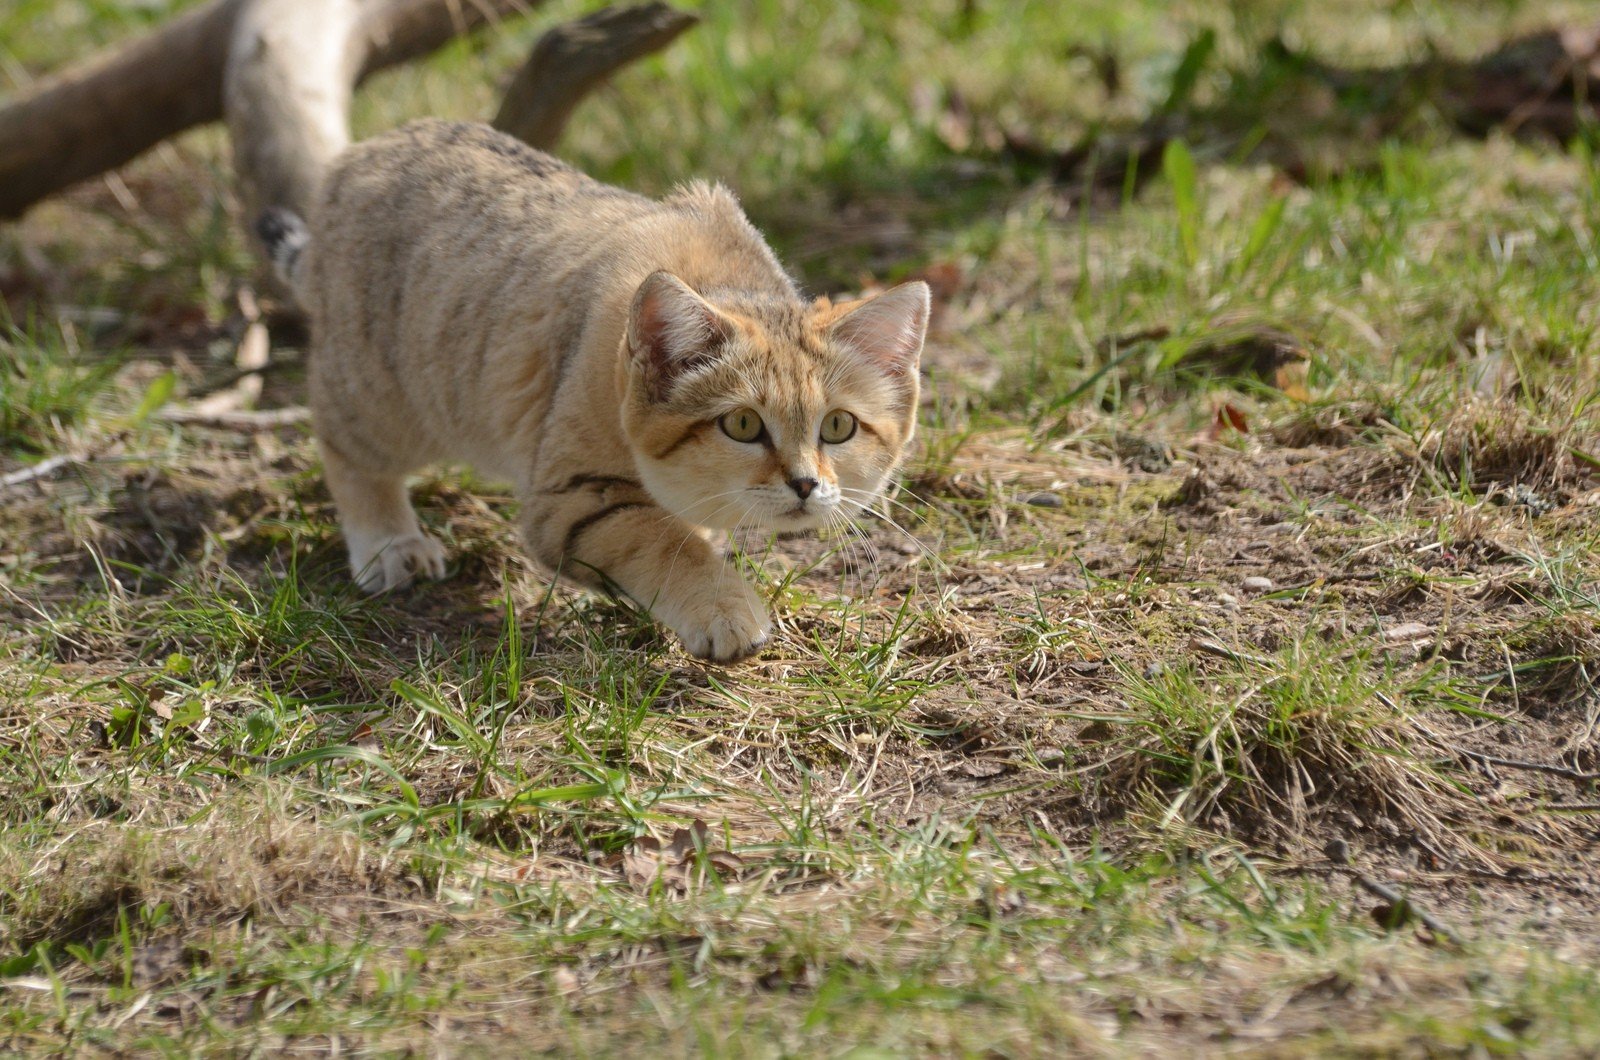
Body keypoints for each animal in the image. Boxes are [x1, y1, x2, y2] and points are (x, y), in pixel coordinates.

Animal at [260, 118, 928, 666]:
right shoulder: (572, 498)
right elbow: (662, 542)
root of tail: (358, 157)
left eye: (838, 426)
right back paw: (389, 541)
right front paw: (723, 607)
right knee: (347, 450)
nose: (806, 484)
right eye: (742, 425)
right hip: (382, 395)